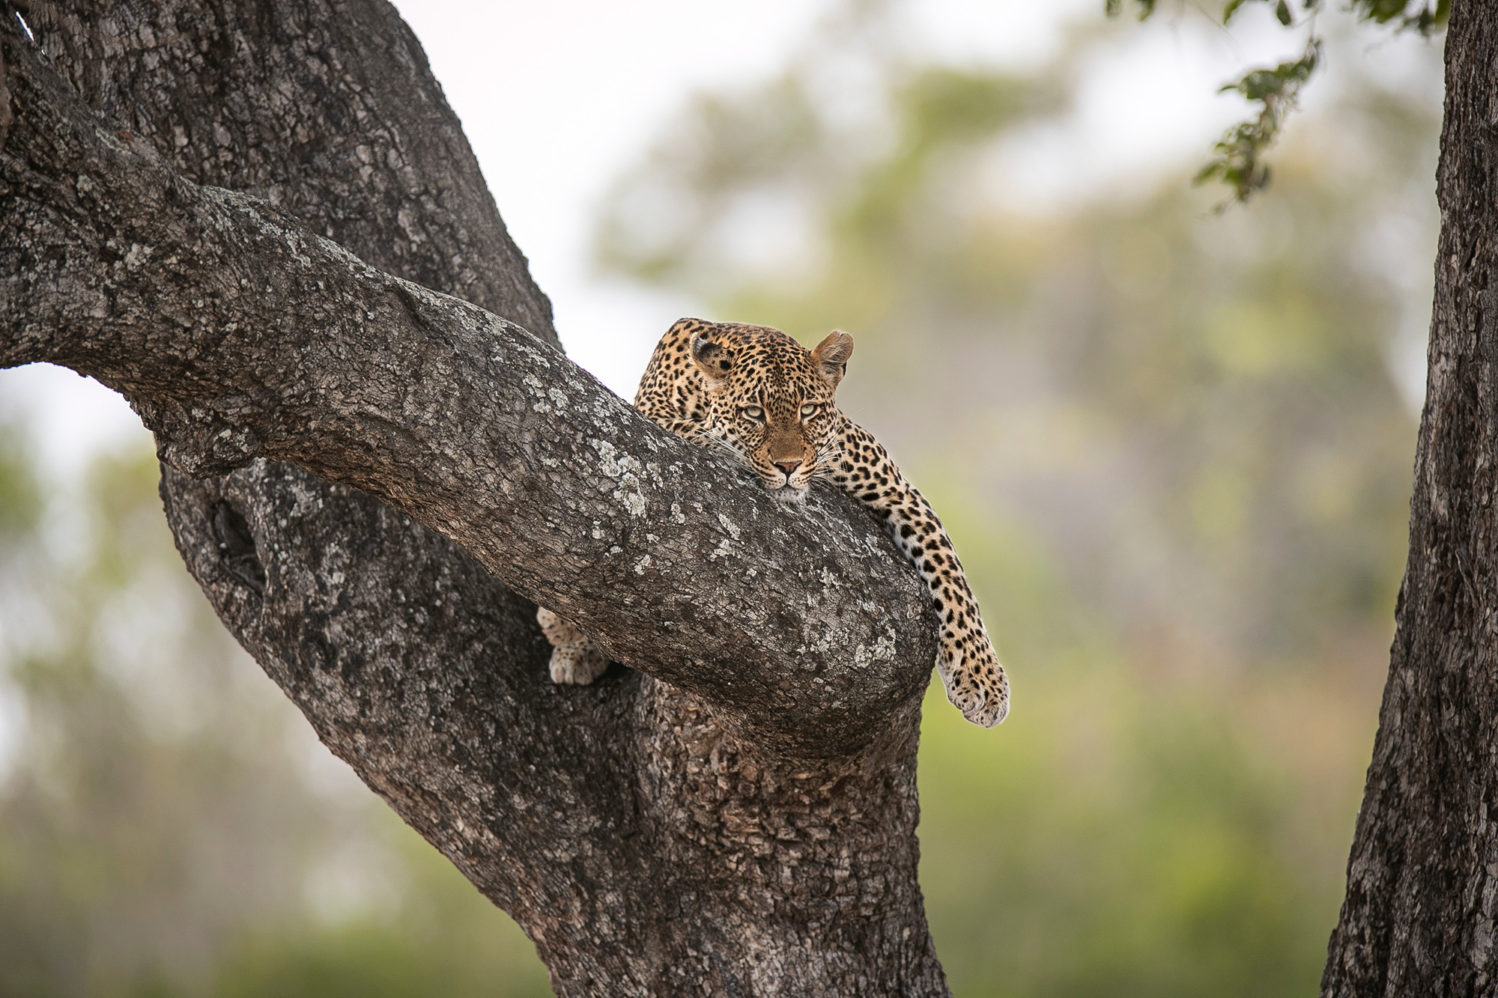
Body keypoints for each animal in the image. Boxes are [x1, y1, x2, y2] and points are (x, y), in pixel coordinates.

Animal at [533, 314, 1012, 728]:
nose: (789, 465)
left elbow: (952, 578)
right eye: (754, 413)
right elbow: (697, 433)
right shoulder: (653, 413)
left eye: (809, 410)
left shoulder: (897, 490)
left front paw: (983, 681)